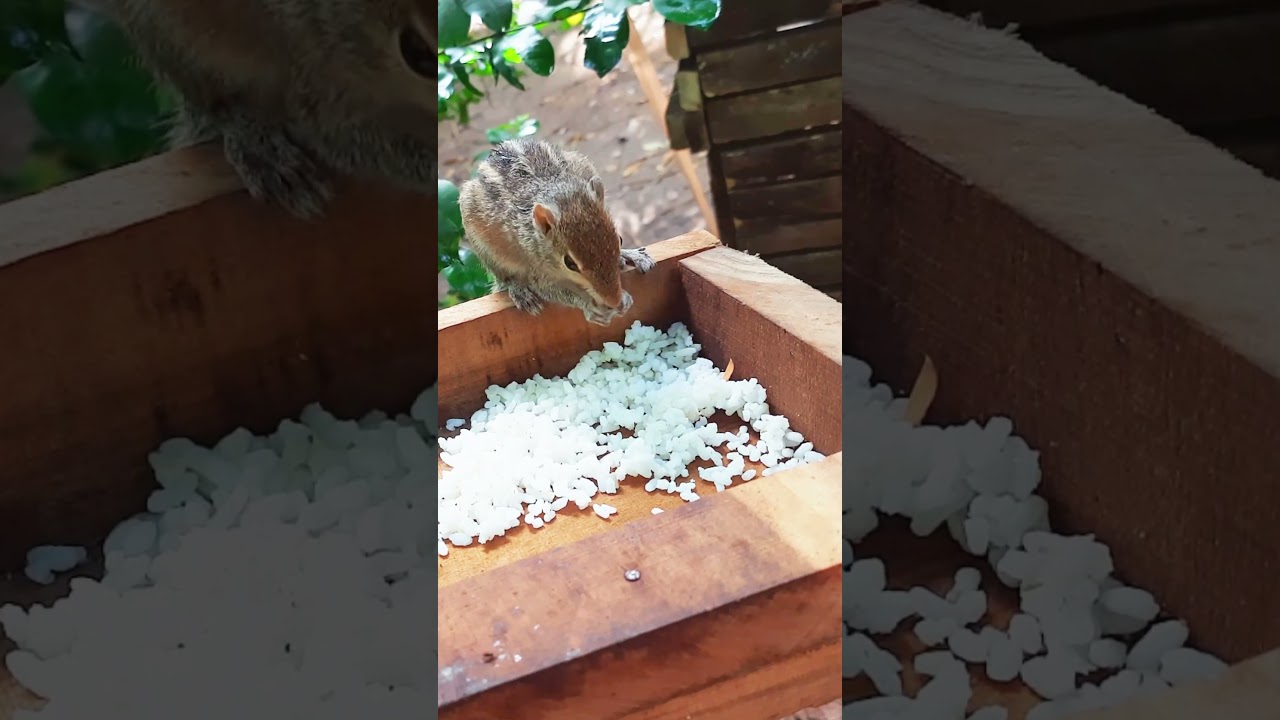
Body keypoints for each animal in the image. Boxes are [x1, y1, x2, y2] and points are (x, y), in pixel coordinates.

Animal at [98, 0, 437, 218]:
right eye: (416, 52)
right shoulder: (318, 66)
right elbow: (350, 138)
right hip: (170, 37)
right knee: (214, 103)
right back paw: (253, 141)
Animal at [459, 139, 656, 325]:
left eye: (620, 240)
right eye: (570, 263)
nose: (614, 301)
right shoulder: (536, 268)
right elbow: (550, 290)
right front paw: (590, 307)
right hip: (487, 250)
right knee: (504, 278)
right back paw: (519, 291)